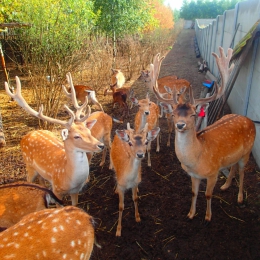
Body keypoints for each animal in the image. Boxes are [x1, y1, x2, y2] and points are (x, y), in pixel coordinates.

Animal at [4, 72, 104, 205]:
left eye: (88, 131)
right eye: (76, 136)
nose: (101, 145)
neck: (66, 176)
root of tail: (27, 135)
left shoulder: (75, 191)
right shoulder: (56, 190)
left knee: (41, 180)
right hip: (29, 165)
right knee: (29, 179)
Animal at [151, 47, 255, 222]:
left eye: (193, 114)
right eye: (174, 114)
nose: (180, 125)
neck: (197, 160)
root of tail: (250, 120)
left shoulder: (213, 172)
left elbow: (207, 194)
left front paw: (207, 216)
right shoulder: (194, 175)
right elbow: (193, 193)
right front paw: (191, 214)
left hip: (247, 152)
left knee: (242, 172)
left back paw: (240, 198)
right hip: (235, 155)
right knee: (233, 166)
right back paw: (225, 186)